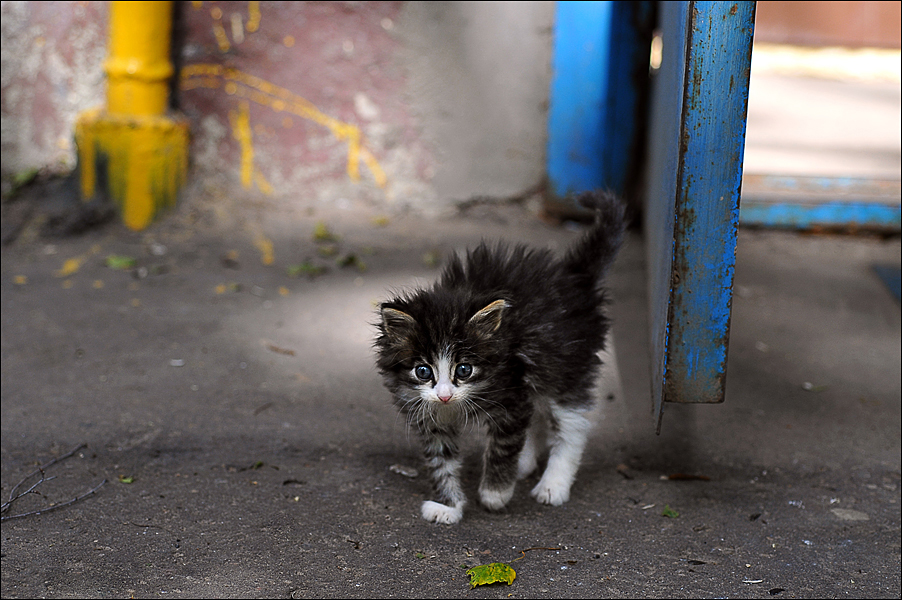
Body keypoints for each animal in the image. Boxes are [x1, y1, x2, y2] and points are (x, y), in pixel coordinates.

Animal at [378, 192, 624, 524]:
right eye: (423, 371)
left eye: (464, 369)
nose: (444, 395)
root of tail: (574, 277)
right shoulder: (429, 415)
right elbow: (442, 461)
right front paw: (449, 506)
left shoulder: (510, 393)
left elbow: (503, 446)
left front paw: (495, 493)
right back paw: (526, 463)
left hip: (565, 365)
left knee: (572, 425)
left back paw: (553, 484)